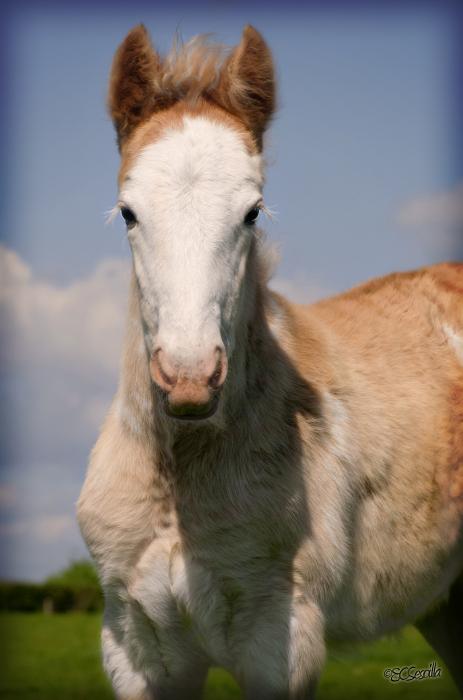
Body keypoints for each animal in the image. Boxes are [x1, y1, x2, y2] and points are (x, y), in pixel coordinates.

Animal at [79, 24, 463, 700]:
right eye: (128, 211)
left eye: (252, 211)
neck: (179, 489)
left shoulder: (278, 640)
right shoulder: (135, 646)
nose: (188, 381)